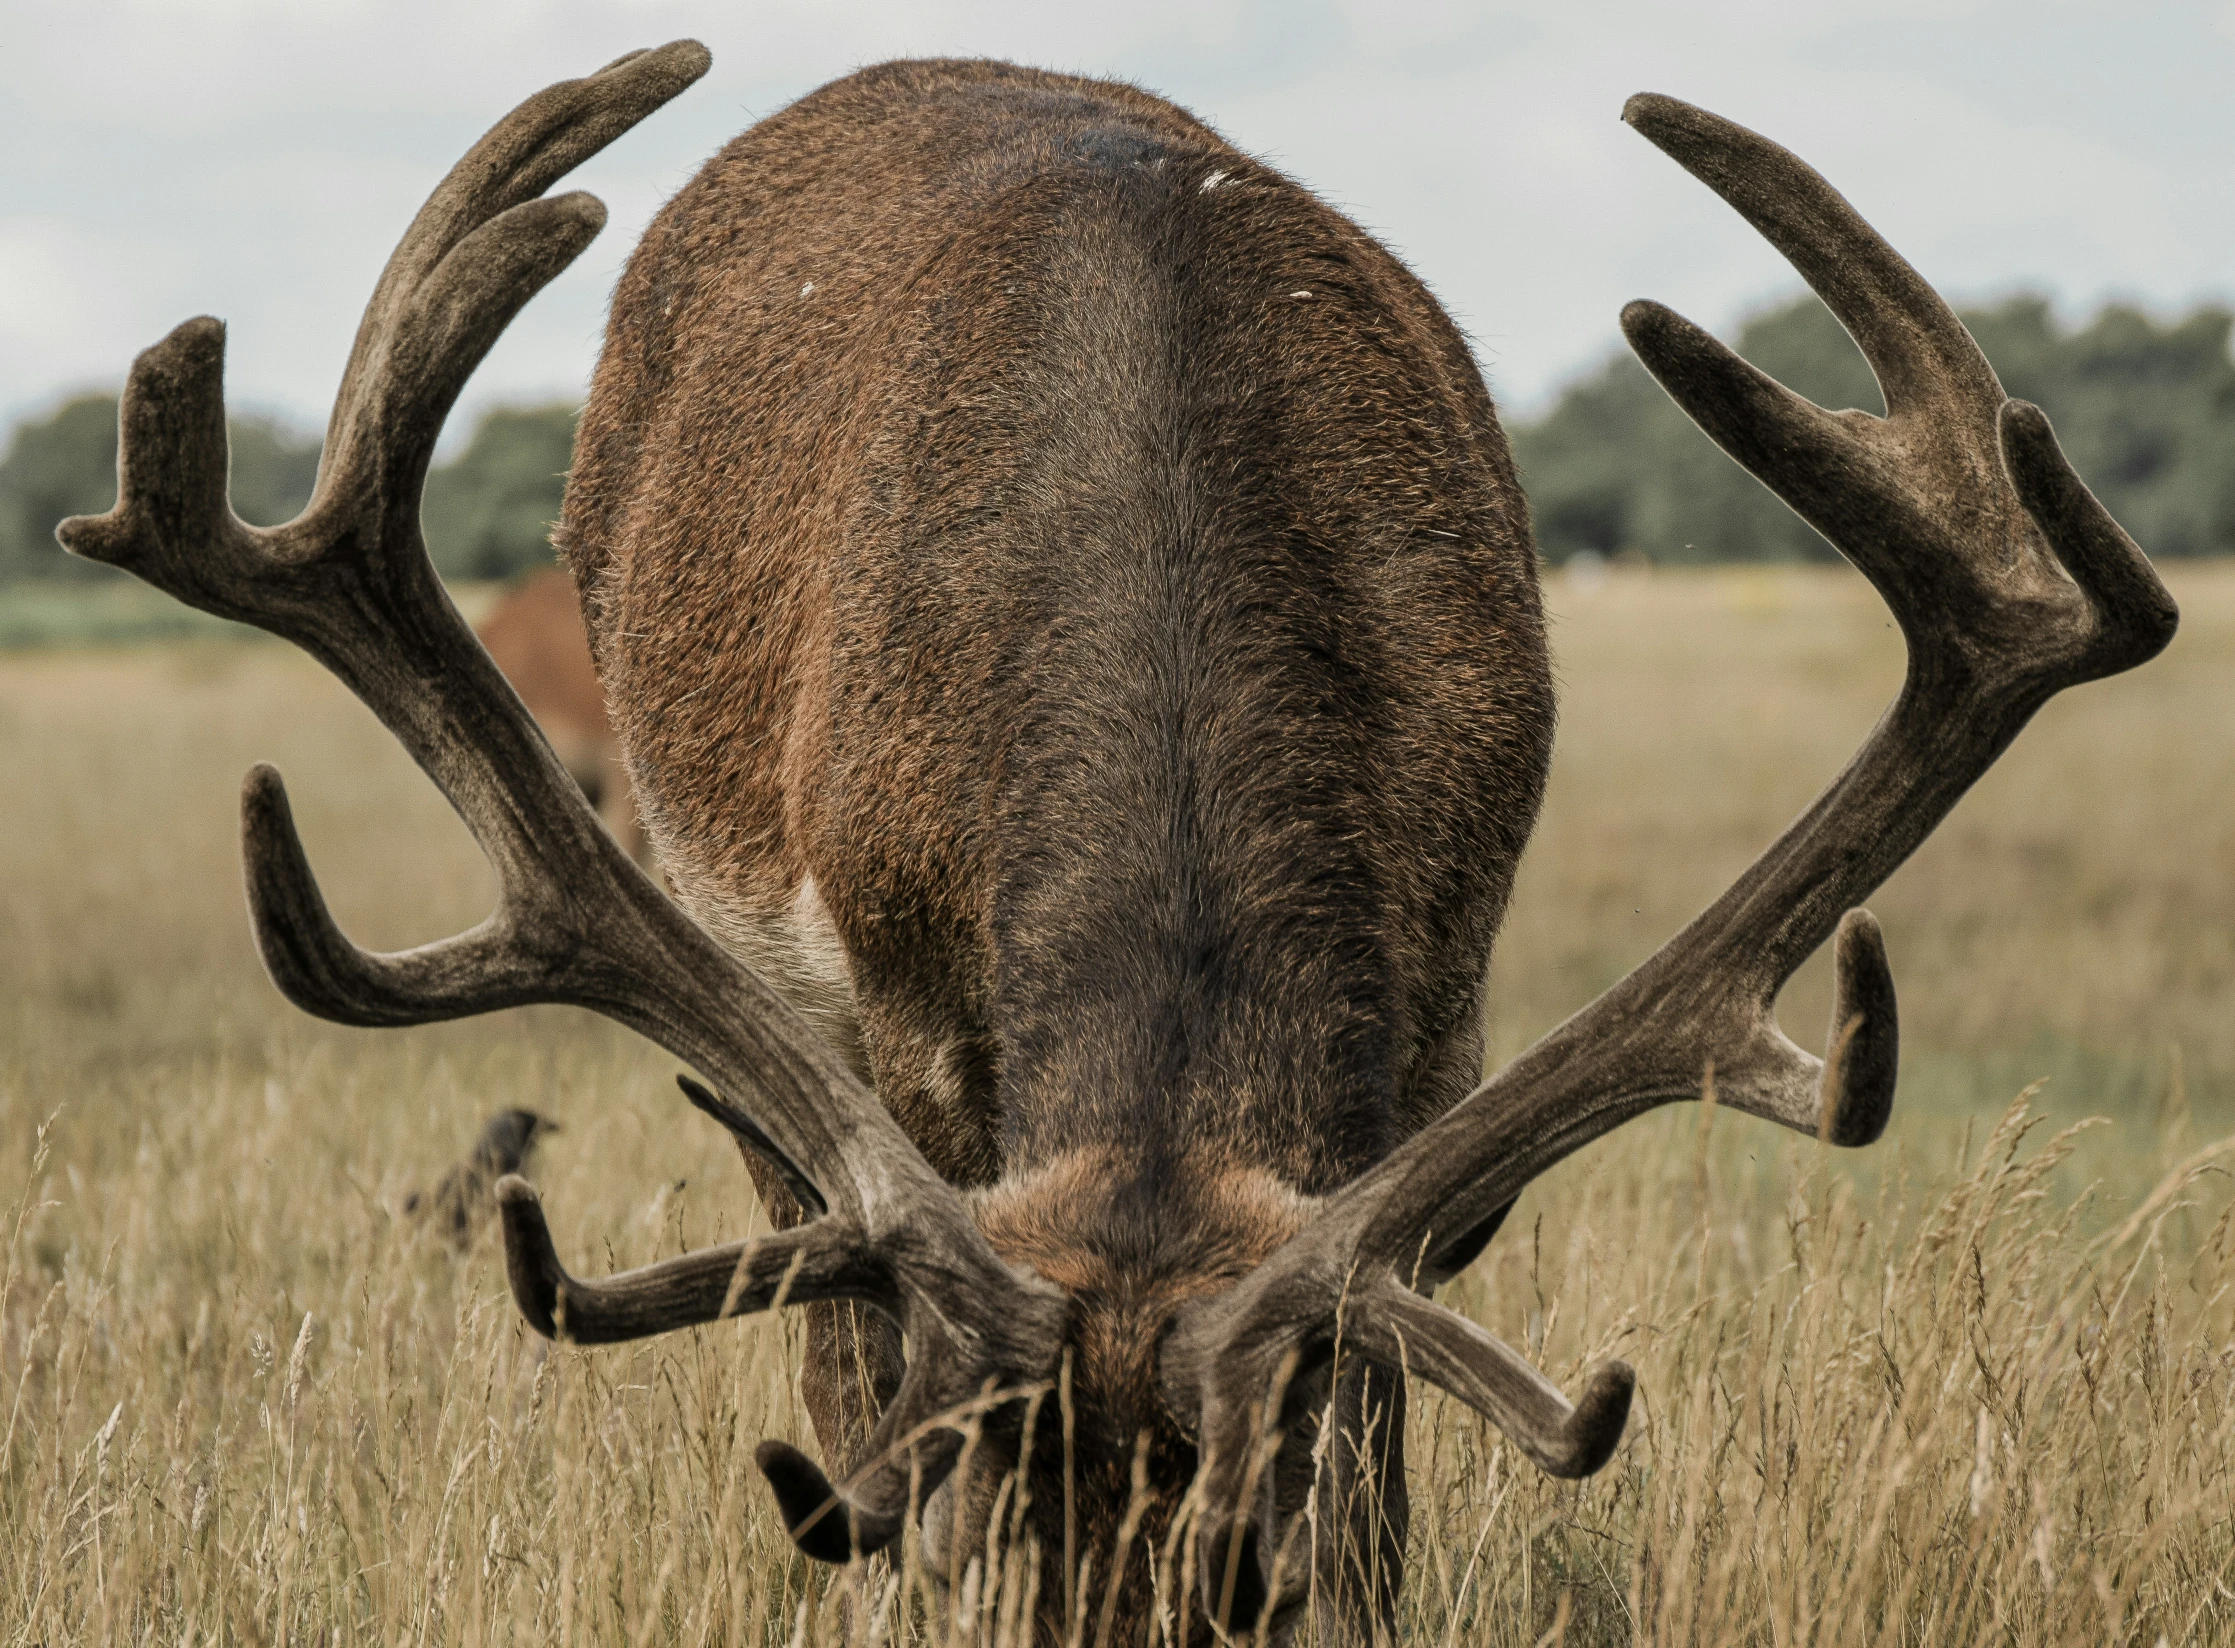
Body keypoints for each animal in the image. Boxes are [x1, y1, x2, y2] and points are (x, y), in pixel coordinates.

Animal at [61, 45, 2172, 1636]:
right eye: (983, 1569)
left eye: (1249, 1586)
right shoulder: (905, 1009)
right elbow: (880, 1366)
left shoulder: (1444, 1000)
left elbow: (1379, 1423)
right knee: (817, 1304)